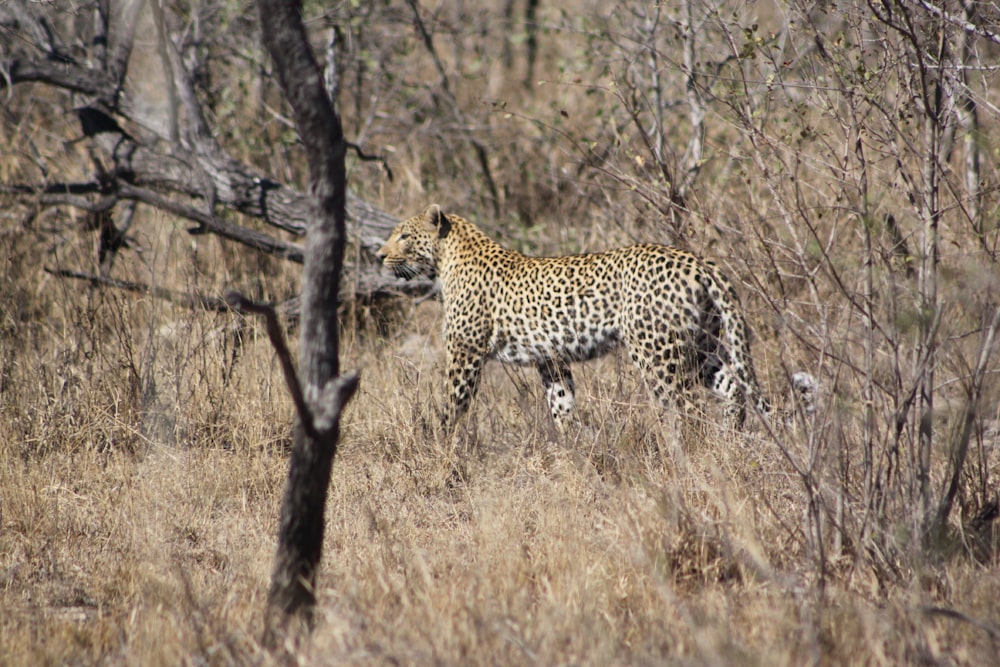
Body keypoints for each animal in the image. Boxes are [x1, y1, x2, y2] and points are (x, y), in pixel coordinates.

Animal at [376, 204, 812, 430]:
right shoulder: (550, 359)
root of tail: (697, 260)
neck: (447, 256)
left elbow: (455, 405)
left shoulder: (464, 353)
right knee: (734, 388)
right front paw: (574, 451)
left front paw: (443, 446)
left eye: (403, 236)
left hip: (657, 352)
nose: (379, 255)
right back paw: (730, 438)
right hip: (703, 344)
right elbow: (562, 405)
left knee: (686, 409)